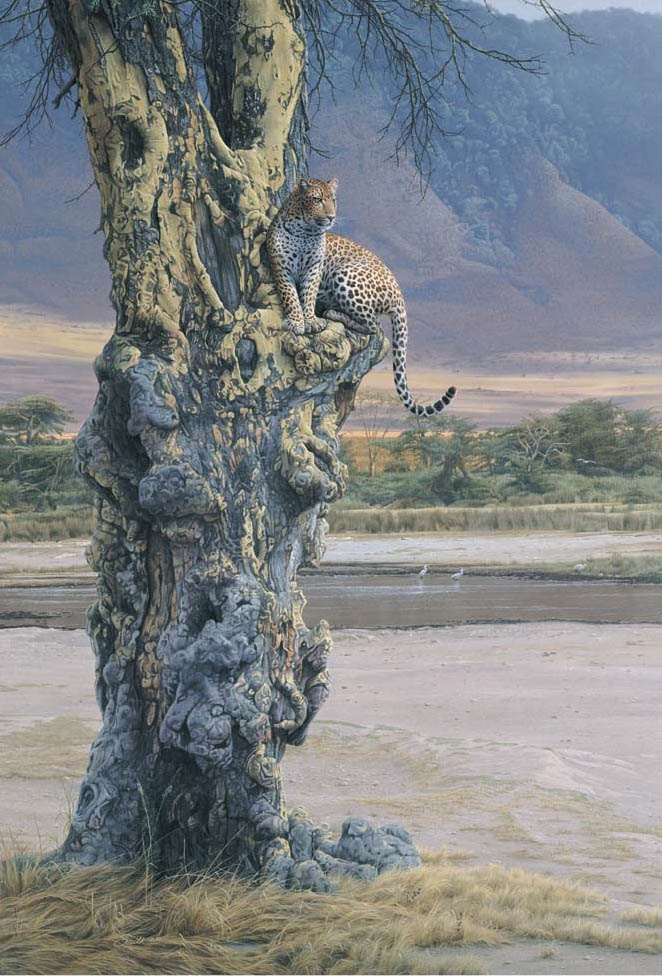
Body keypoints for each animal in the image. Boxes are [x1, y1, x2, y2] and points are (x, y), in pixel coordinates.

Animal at [266, 177, 456, 417]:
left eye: (333, 200)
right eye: (317, 199)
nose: (331, 217)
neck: (305, 232)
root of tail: (398, 292)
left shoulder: (314, 270)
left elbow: (308, 296)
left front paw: (309, 320)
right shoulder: (281, 268)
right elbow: (290, 296)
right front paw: (297, 321)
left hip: (345, 273)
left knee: (373, 326)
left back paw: (332, 313)